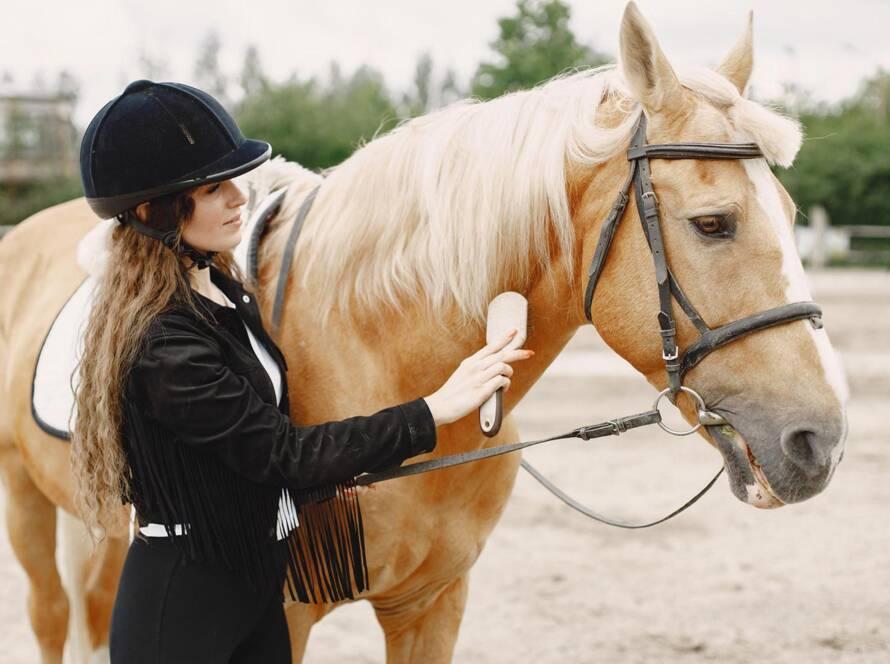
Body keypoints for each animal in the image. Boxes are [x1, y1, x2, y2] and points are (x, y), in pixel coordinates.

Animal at [0, 3, 848, 662]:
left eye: (794, 217)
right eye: (713, 224)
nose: (821, 441)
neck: (371, 350)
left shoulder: (432, 602)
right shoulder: (283, 618)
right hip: (25, 502)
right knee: (51, 618)